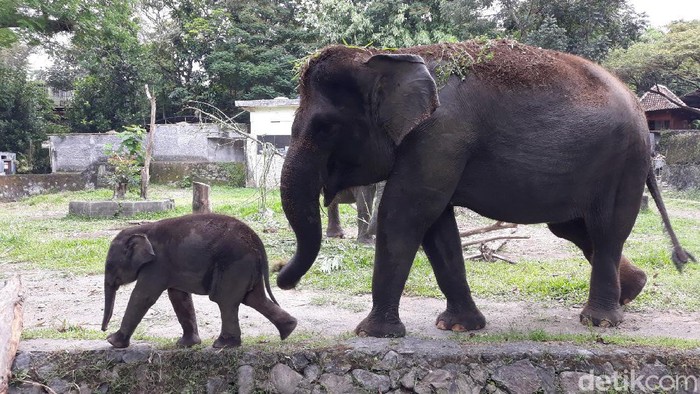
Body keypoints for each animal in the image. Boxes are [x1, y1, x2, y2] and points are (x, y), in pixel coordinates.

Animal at [101, 212, 296, 348]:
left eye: (109, 265)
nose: (103, 330)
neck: (141, 230)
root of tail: (257, 240)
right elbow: (179, 297)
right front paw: (186, 345)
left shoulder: (157, 265)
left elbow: (142, 296)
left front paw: (112, 342)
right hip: (247, 266)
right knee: (254, 298)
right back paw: (289, 330)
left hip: (234, 264)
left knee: (226, 300)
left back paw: (223, 345)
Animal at [276, 42, 692, 338]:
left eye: (325, 127)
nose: (283, 278)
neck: (387, 56)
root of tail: (641, 113)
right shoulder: (434, 145)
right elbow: (437, 227)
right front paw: (459, 326)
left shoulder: (440, 136)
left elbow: (405, 213)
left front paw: (373, 334)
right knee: (574, 228)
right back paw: (632, 292)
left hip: (623, 163)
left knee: (606, 229)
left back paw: (601, 321)